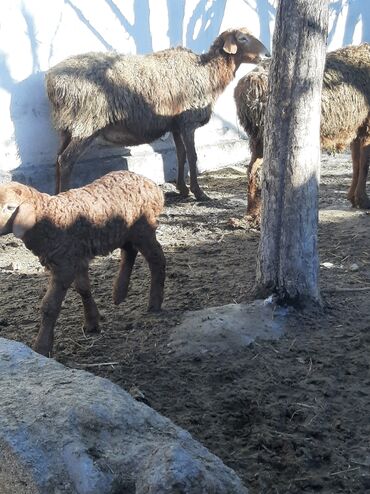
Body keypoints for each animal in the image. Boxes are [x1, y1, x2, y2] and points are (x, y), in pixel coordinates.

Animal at [0, 172, 165, 356]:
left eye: (10, 207)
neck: (48, 218)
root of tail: (152, 185)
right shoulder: (76, 257)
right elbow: (83, 288)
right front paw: (92, 322)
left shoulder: (64, 266)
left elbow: (50, 306)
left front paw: (41, 347)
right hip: (125, 231)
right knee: (129, 251)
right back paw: (119, 294)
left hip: (143, 228)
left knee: (157, 258)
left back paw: (154, 303)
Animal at [46, 27, 270, 199]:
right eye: (242, 38)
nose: (267, 54)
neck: (207, 72)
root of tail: (52, 81)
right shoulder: (188, 122)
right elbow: (193, 156)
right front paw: (199, 192)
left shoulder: (176, 125)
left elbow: (180, 155)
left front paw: (182, 189)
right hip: (86, 124)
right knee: (66, 161)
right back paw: (64, 196)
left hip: (68, 127)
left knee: (57, 159)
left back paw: (54, 197)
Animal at [234, 43, 370, 221]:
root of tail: (251, 86)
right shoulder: (367, 125)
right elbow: (365, 164)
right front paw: (363, 200)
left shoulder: (356, 128)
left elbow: (356, 163)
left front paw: (353, 198)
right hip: (267, 136)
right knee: (262, 171)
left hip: (256, 138)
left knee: (251, 169)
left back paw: (251, 211)